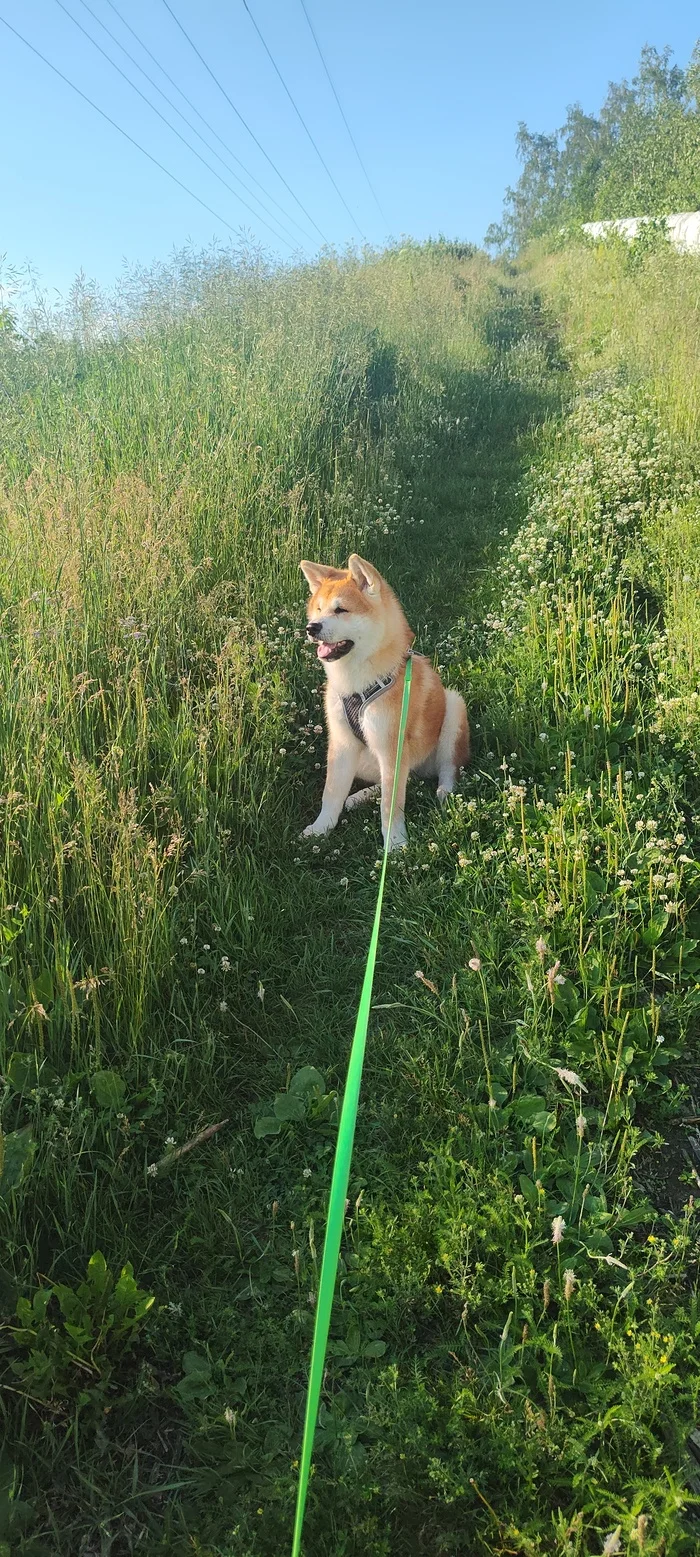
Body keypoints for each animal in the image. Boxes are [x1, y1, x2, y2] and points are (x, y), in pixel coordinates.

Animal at [298, 554, 466, 853]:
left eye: (341, 610)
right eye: (318, 610)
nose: (311, 628)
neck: (358, 686)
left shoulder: (391, 746)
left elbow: (390, 804)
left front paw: (395, 843)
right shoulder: (342, 743)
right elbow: (331, 793)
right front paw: (321, 829)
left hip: (454, 707)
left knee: (446, 768)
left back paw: (445, 791)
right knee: (401, 779)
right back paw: (358, 796)